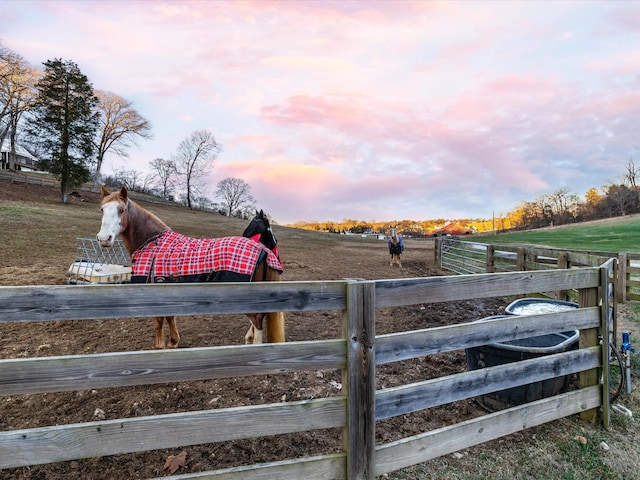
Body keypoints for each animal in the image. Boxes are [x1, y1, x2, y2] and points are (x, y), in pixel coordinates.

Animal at [97, 187, 284, 348]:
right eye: (102, 209)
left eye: (121, 210)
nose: (104, 238)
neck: (152, 242)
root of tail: (264, 249)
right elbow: (170, 317)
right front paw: (173, 342)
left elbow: (159, 323)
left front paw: (160, 347)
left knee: (257, 323)